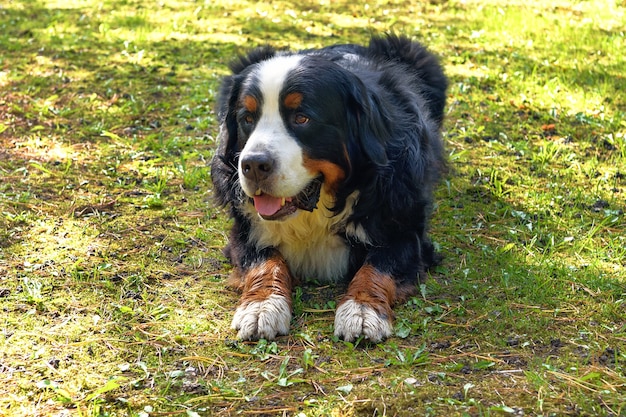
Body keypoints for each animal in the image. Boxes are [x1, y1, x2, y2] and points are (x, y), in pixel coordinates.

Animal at [212, 35, 446, 342]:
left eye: (302, 118)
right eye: (247, 118)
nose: (253, 164)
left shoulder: (403, 230)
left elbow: (377, 267)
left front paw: (362, 310)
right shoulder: (245, 229)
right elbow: (264, 261)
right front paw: (261, 306)